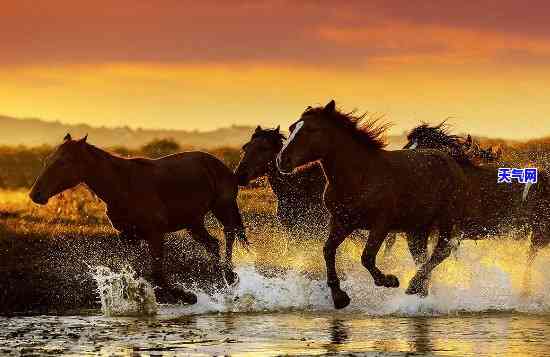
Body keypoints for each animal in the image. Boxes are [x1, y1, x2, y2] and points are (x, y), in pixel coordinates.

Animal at [28, 134, 248, 304]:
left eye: (63, 162)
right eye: (48, 160)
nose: (35, 194)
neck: (122, 186)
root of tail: (221, 165)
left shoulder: (155, 234)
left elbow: (157, 274)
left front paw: (188, 296)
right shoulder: (129, 237)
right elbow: (134, 273)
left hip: (222, 207)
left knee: (229, 234)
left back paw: (231, 277)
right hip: (193, 223)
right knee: (213, 244)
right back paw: (224, 282)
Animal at [278, 98, 468, 308]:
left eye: (312, 129)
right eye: (292, 127)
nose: (281, 160)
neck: (359, 177)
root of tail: (451, 161)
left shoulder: (381, 225)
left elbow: (367, 257)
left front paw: (389, 280)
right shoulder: (342, 222)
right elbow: (328, 250)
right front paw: (340, 297)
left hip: (446, 221)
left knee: (441, 252)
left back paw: (412, 286)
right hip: (417, 229)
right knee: (422, 257)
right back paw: (420, 291)